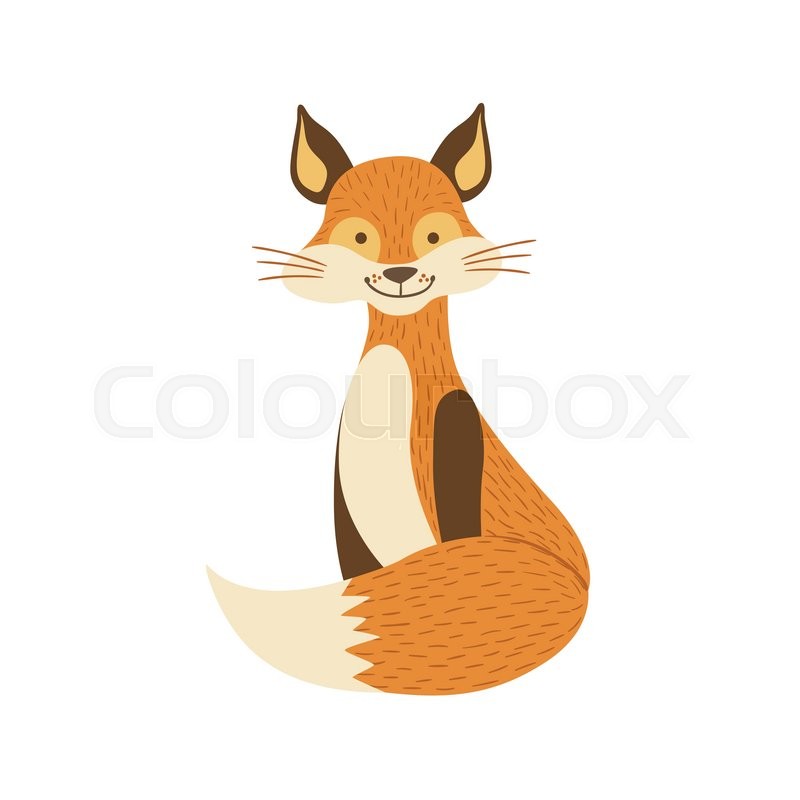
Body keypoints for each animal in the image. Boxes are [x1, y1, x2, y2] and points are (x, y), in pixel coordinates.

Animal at [208, 104, 590, 695]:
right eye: (361, 236)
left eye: (432, 234)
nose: (400, 273)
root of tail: (582, 584)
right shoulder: (348, 513)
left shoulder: (457, 439)